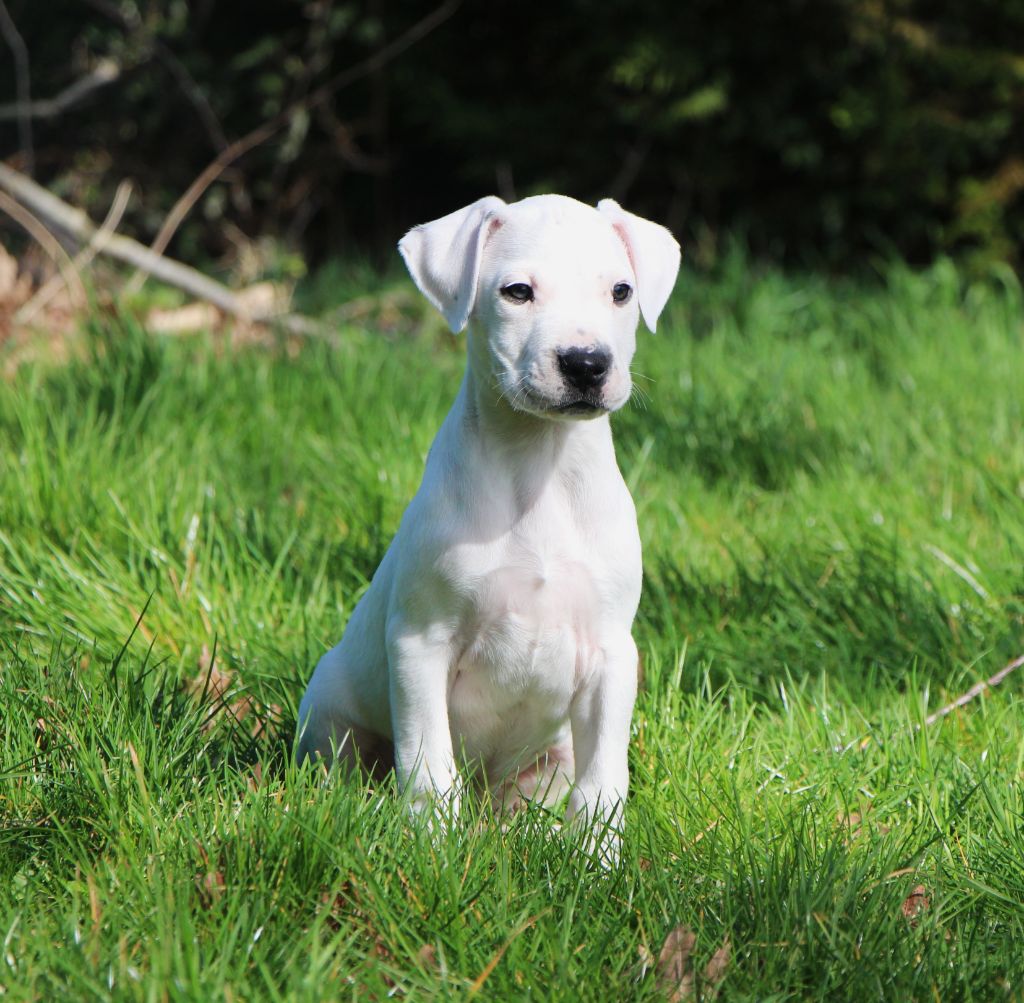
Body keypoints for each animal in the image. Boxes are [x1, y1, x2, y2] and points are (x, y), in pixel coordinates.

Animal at [297, 194, 680, 857]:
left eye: (622, 291)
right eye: (517, 292)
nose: (586, 364)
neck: (537, 466)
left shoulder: (611, 653)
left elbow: (604, 775)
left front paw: (598, 857)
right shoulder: (419, 642)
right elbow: (428, 761)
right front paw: (432, 848)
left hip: (549, 761)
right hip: (328, 709)